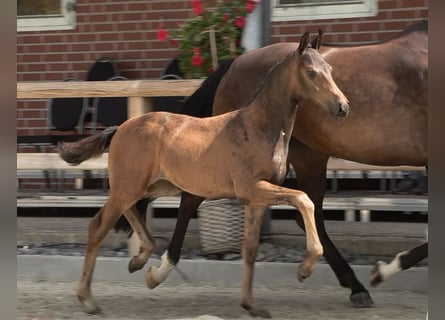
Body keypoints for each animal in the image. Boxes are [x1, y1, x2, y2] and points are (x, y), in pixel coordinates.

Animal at [59, 31, 350, 316]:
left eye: (330, 69)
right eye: (311, 73)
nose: (343, 106)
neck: (258, 127)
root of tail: (120, 128)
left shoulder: (256, 197)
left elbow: (250, 248)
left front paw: (251, 305)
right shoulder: (251, 188)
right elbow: (303, 199)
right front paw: (305, 268)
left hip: (150, 186)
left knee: (130, 211)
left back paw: (141, 262)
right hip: (130, 186)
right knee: (98, 226)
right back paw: (88, 299)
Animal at [147, 20, 424, 310]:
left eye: (330, 70)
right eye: (311, 73)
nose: (343, 106)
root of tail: (232, 64)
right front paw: (382, 270)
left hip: (307, 158)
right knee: (191, 199)